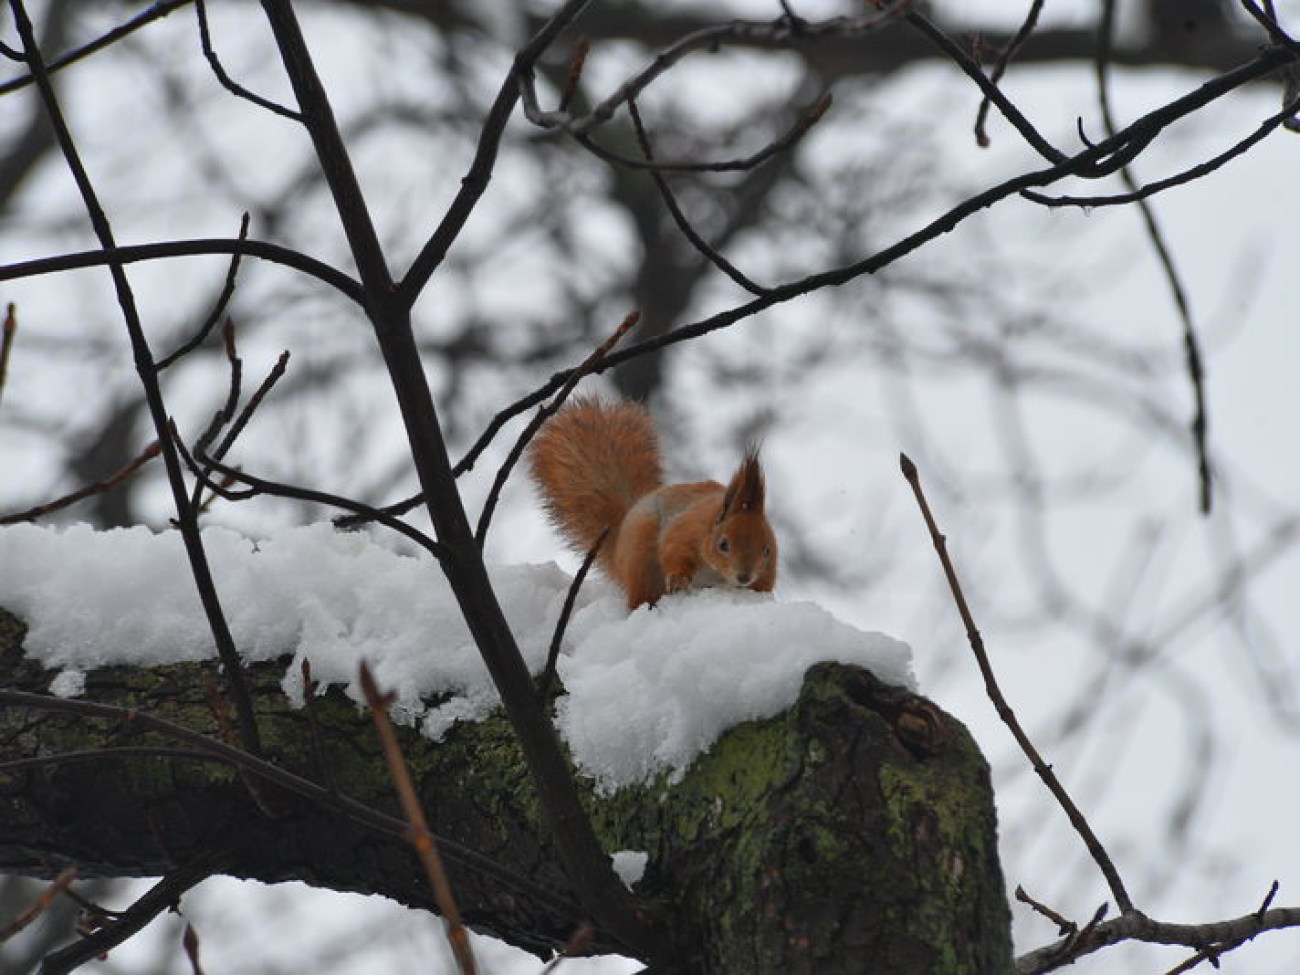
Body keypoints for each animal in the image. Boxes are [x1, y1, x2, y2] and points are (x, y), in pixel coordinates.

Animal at [525, 392, 769, 608]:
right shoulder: (685, 530)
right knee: (640, 596)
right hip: (641, 558)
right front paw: (679, 579)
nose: (744, 577)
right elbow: (674, 550)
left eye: (767, 550)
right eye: (723, 544)